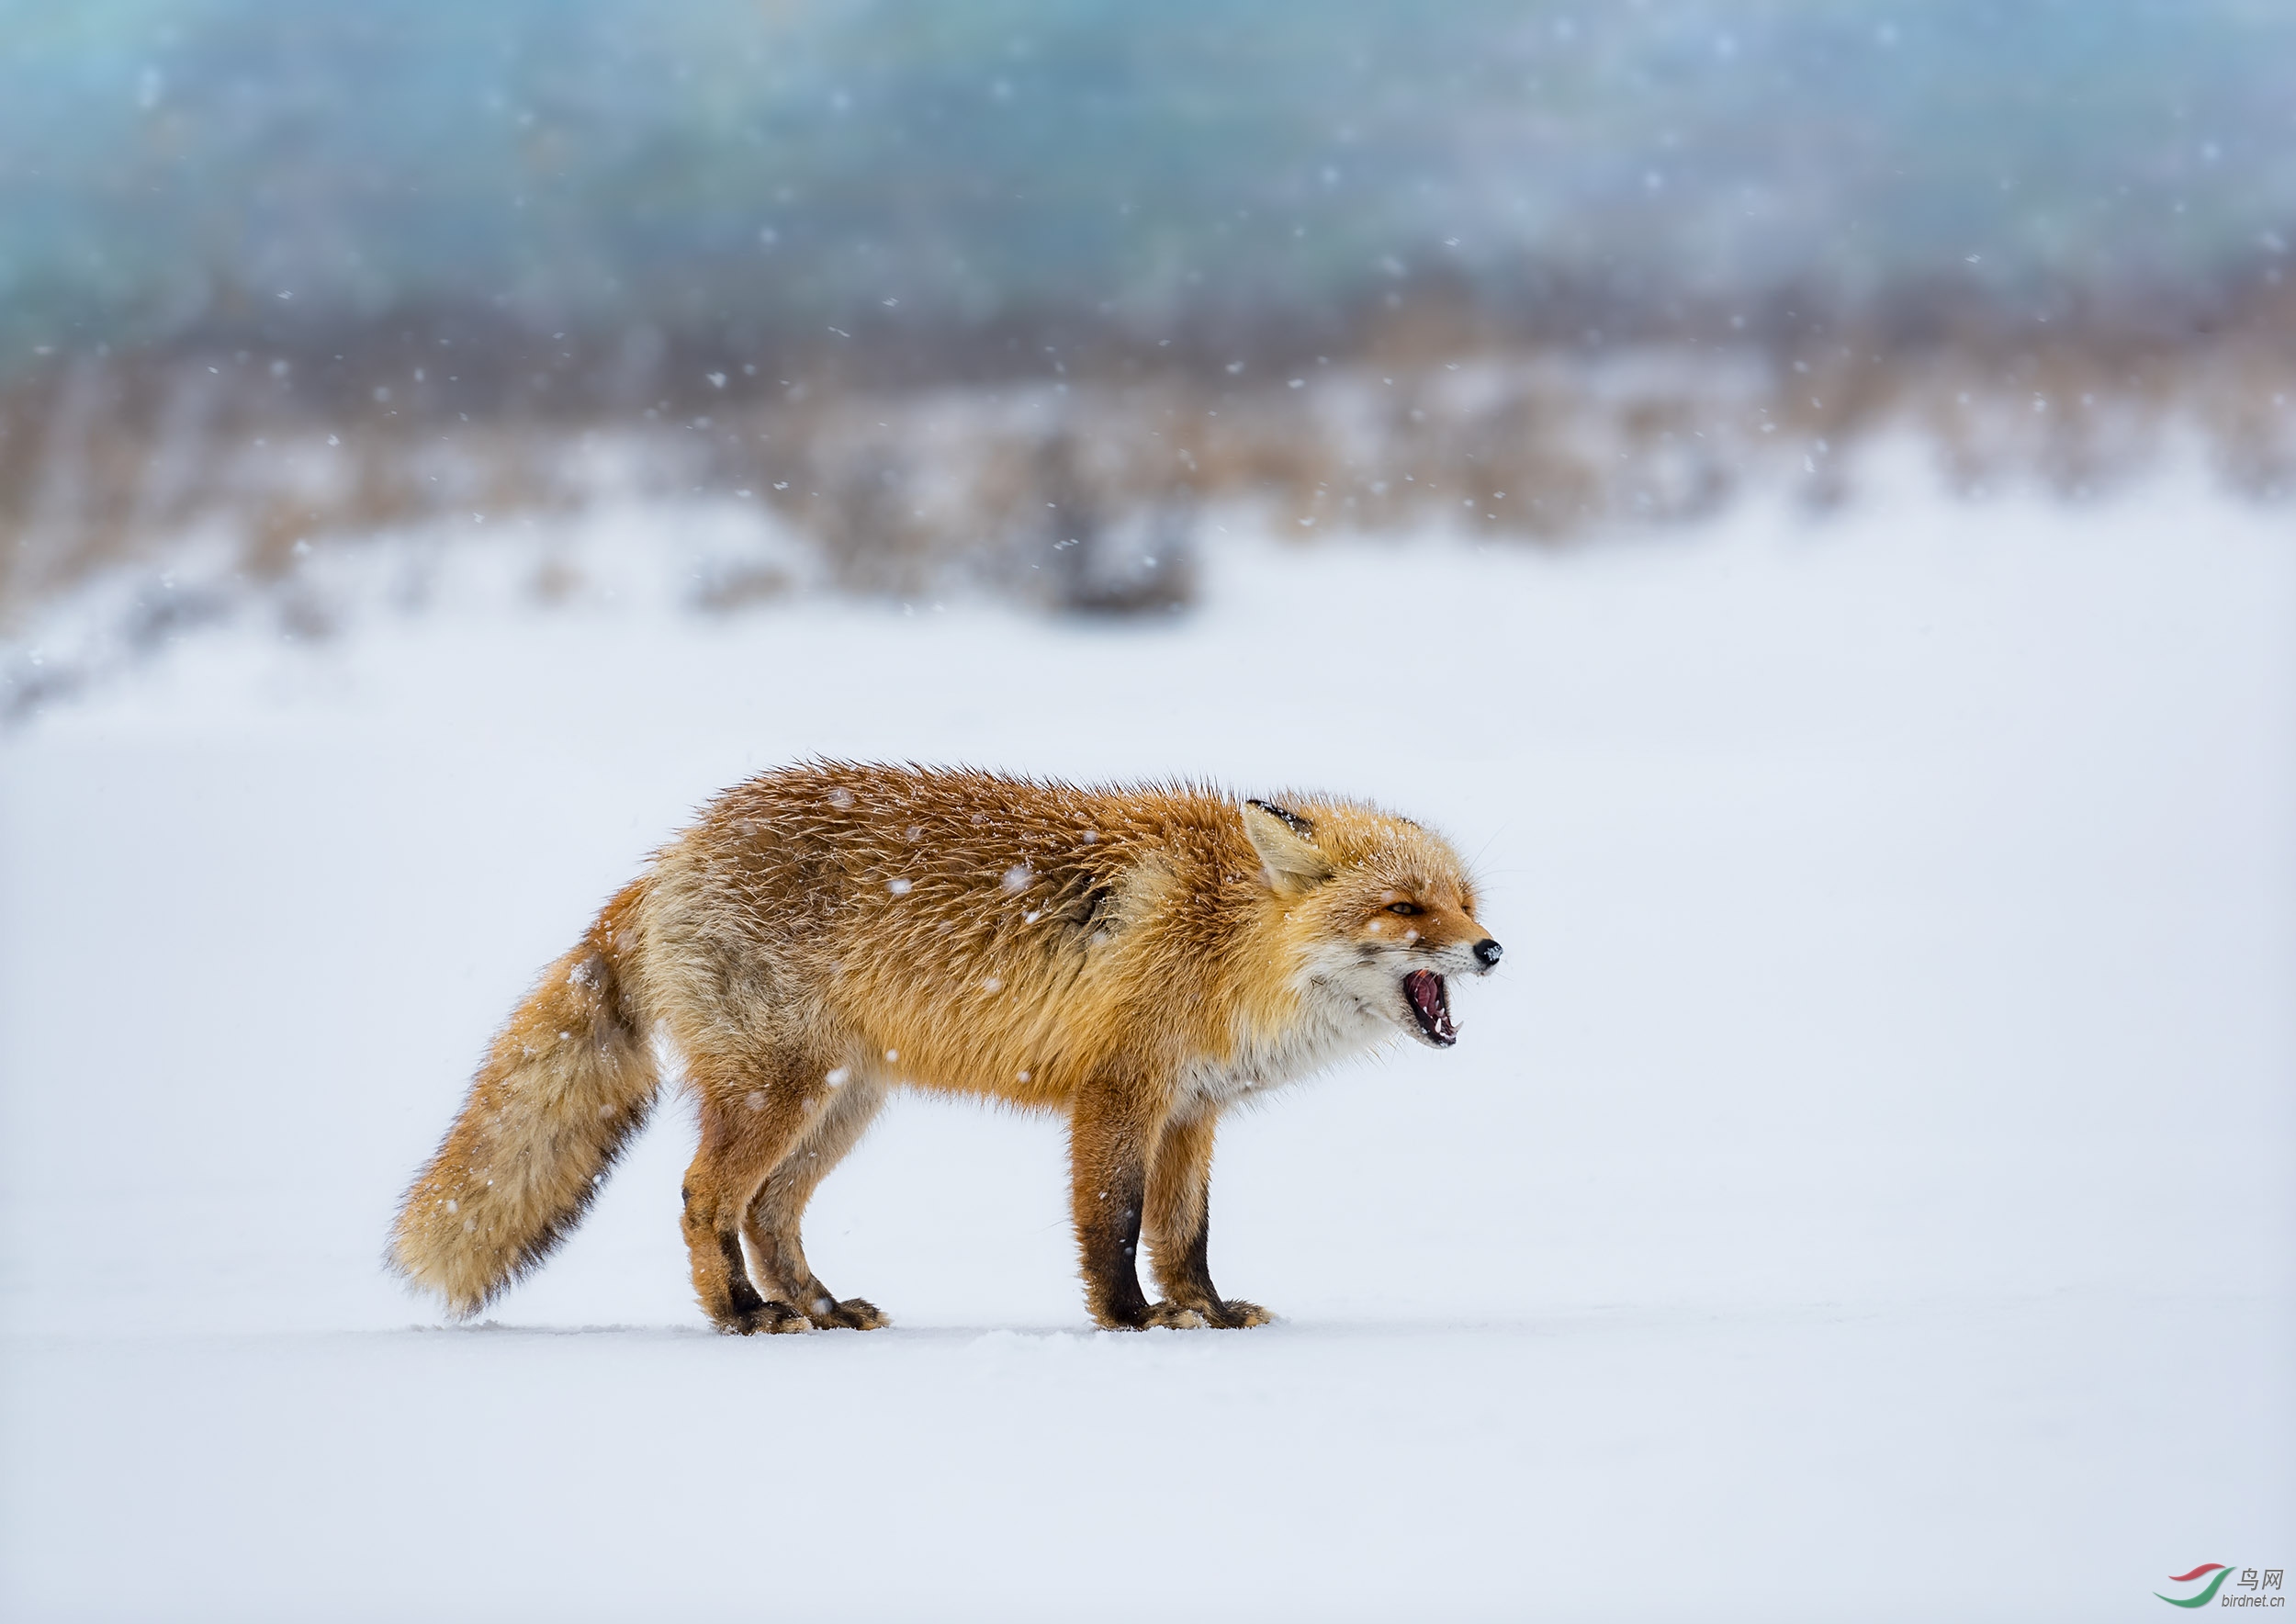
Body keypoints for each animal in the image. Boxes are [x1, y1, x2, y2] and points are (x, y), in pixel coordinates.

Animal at [390, 762, 1506, 1332]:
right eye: (1406, 909)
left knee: (770, 1213)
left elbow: (1183, 1235)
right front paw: (1131, 1321)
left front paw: (1209, 1311)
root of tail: (672, 855)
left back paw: (820, 1306)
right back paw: (743, 1314)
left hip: (840, 1105)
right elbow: (1113, 1226)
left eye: (1463, 901)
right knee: (705, 1199)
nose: (1494, 949)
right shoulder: (1119, 1094)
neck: (1228, 935)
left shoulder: (1192, 1110)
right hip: (778, 1093)